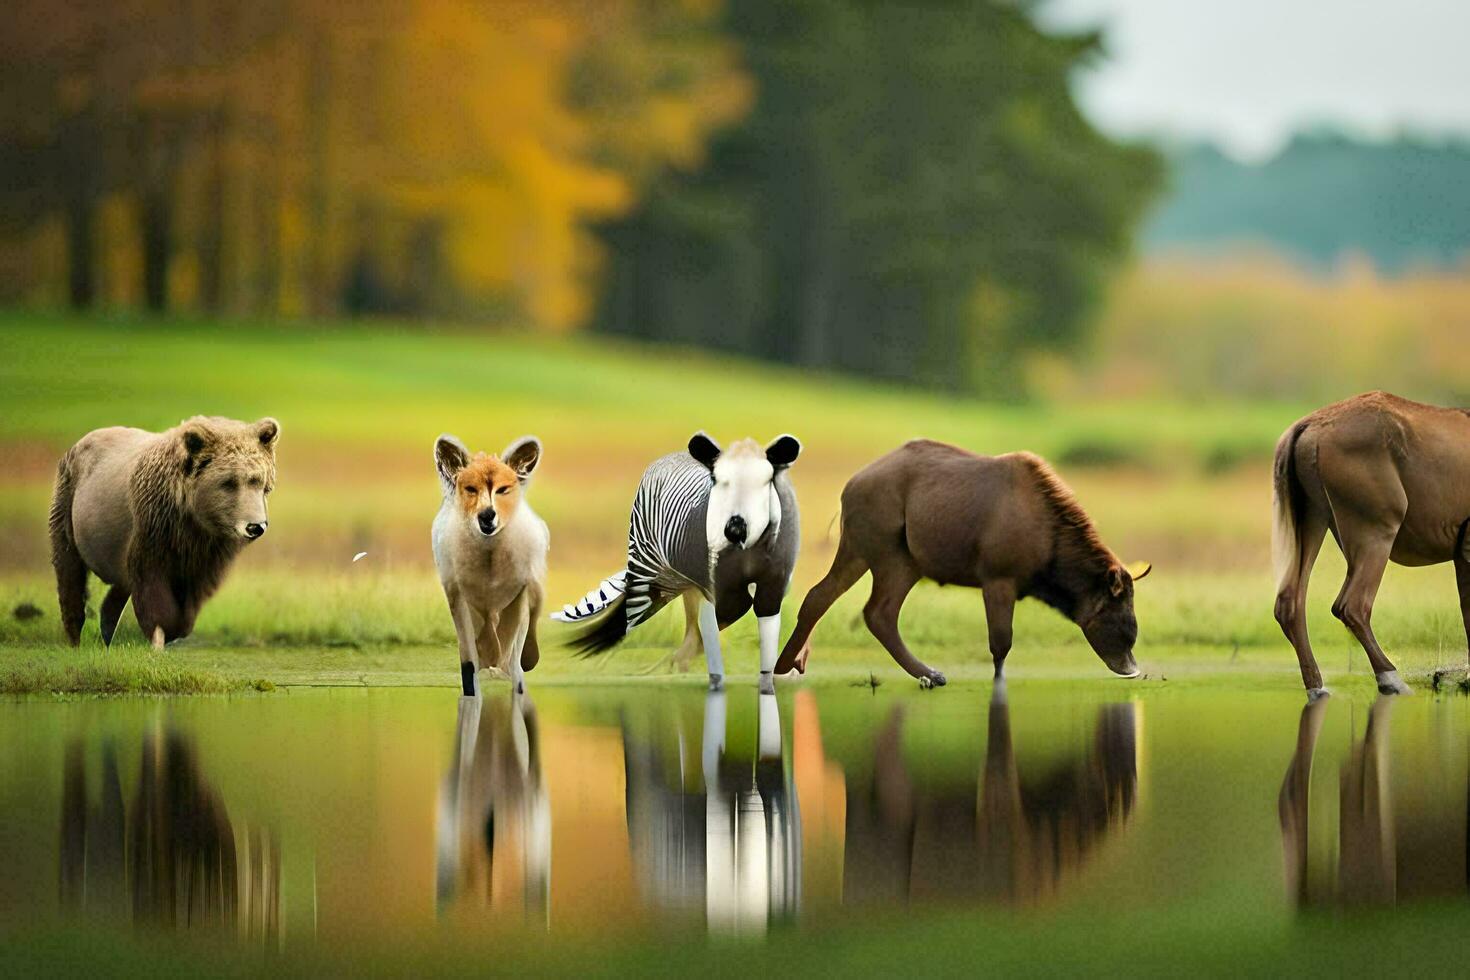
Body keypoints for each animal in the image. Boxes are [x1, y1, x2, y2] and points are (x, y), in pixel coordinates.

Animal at [49, 417, 280, 646]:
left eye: (261, 483)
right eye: (229, 482)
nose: (255, 526)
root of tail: (81, 441)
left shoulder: (204, 554)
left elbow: (192, 595)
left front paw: (177, 628)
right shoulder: (152, 532)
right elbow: (152, 588)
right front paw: (160, 632)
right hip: (69, 508)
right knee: (69, 570)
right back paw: (75, 636)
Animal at [552, 431, 805, 693]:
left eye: (765, 483)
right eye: (716, 481)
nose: (734, 530)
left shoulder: (772, 586)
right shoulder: (720, 587)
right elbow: (712, 628)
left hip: (680, 582)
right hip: (650, 571)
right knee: (636, 615)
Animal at [770, 440, 1146, 687]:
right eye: (1122, 622)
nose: (1132, 669)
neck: (1052, 566)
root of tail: (848, 487)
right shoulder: (998, 577)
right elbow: (1001, 642)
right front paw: (998, 682)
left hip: (900, 559)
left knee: (861, 607)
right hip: (879, 548)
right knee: (851, 604)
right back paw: (785, 663)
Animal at [1270, 390, 1470, 696]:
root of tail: (1306, 426)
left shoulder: (1461, 551)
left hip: (1312, 517)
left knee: (1290, 602)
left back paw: (1317, 687)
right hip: (1376, 529)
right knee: (1351, 605)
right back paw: (1391, 679)